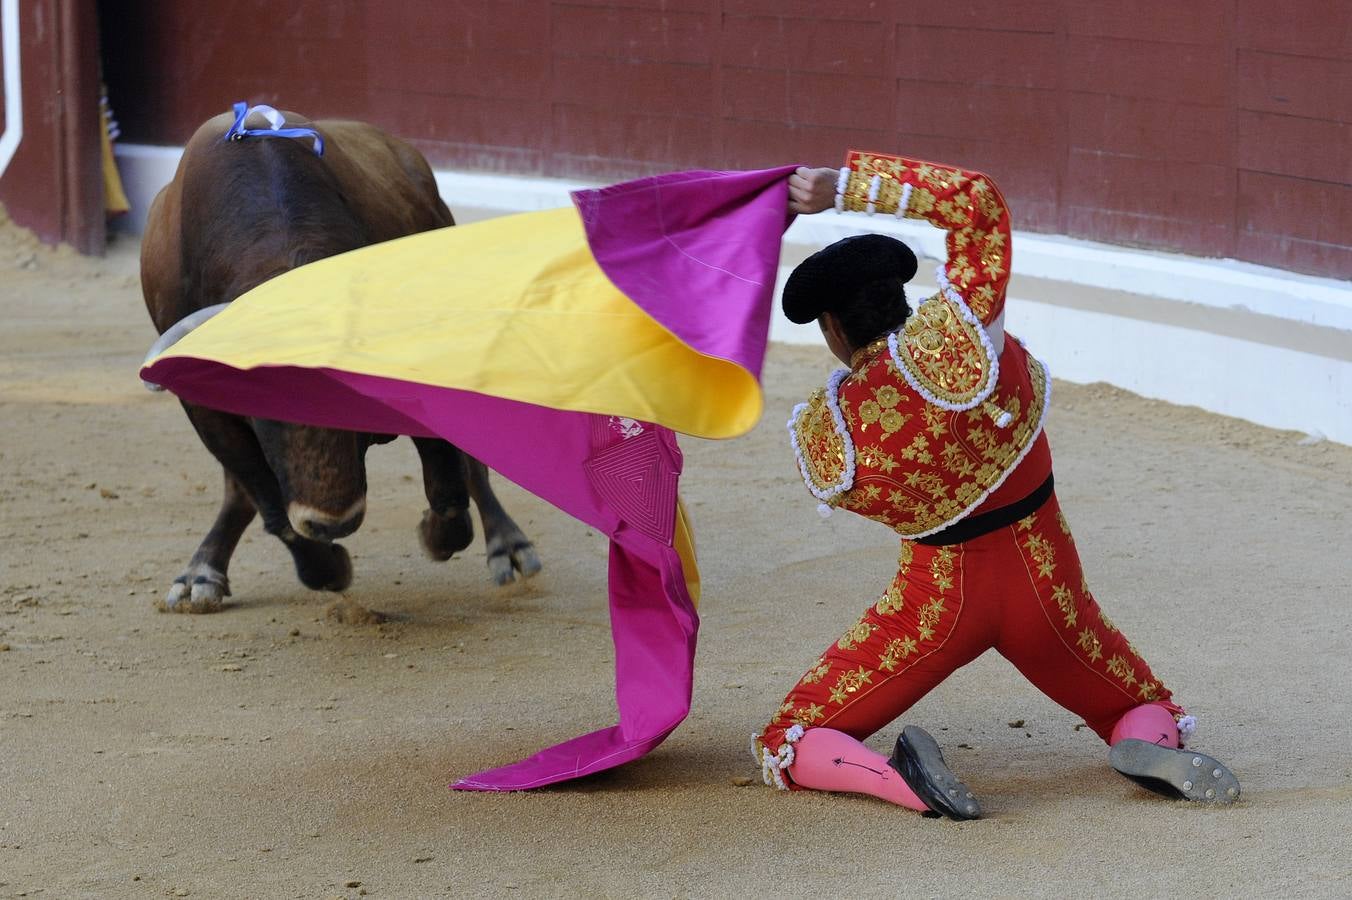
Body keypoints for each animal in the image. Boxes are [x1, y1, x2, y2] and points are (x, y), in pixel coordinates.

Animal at [138, 103, 538, 610]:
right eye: (260, 406)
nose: (336, 523)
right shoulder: (207, 410)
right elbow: (264, 494)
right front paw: (325, 568)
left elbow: (448, 473)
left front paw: (438, 534)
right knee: (239, 489)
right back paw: (201, 573)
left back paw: (508, 545)